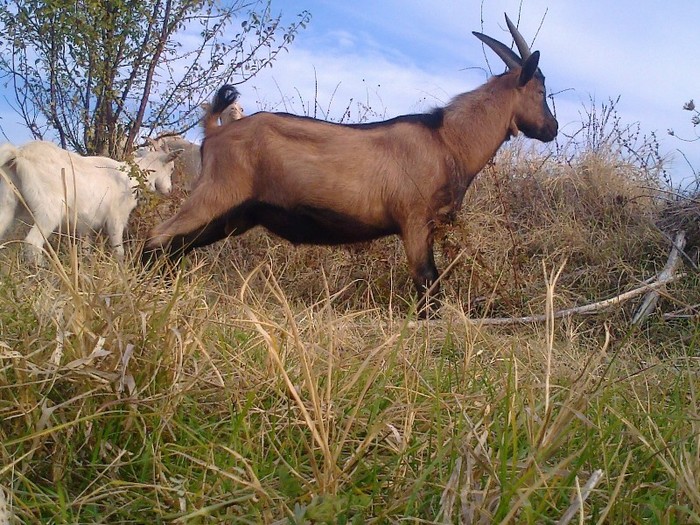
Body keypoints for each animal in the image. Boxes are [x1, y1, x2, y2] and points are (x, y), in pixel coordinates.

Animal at [0, 140, 180, 264]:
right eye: (171, 168)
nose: (169, 190)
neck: (131, 176)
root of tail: (19, 154)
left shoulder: (86, 224)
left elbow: (85, 249)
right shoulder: (116, 218)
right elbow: (119, 251)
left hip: (8, 203)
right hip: (50, 209)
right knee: (33, 242)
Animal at [142, 14, 556, 318]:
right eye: (540, 91)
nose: (551, 129)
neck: (447, 139)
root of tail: (214, 131)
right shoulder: (414, 220)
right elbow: (428, 283)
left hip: (235, 215)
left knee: (178, 245)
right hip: (217, 193)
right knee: (159, 236)